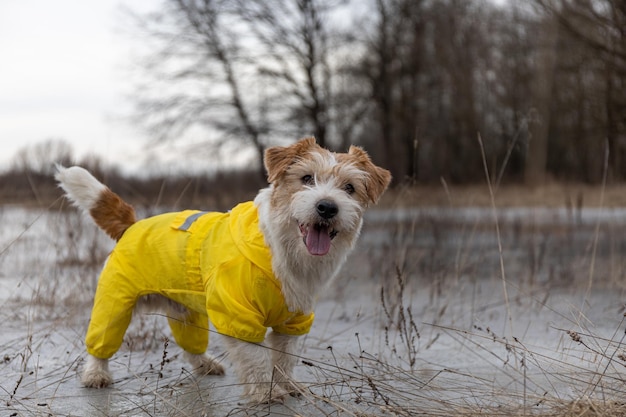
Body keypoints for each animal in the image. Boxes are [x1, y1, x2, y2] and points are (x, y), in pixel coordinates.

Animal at [57, 137, 390, 404]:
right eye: (306, 178)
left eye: (350, 188)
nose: (327, 207)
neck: (280, 250)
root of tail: (133, 223)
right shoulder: (239, 314)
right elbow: (257, 358)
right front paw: (266, 394)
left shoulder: (293, 319)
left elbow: (284, 359)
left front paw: (288, 386)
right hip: (115, 300)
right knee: (101, 340)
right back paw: (96, 374)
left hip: (186, 310)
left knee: (190, 344)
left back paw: (205, 363)